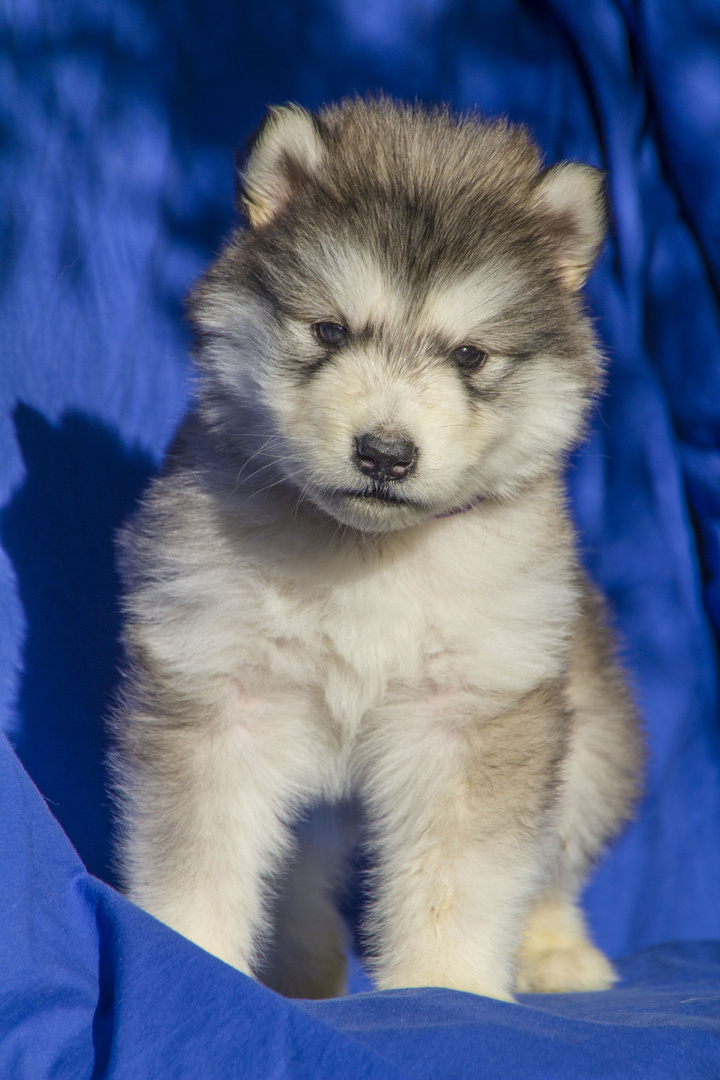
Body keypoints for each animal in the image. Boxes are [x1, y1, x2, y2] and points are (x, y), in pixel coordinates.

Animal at [112, 97, 643, 997]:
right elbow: (201, 861)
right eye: (328, 330)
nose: (386, 454)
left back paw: (551, 951)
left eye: (470, 355)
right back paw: (303, 966)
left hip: (595, 735)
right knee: (296, 872)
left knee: (556, 859)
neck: (366, 557)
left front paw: (450, 986)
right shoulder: (218, 692)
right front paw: (193, 962)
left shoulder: (472, 713)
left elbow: (460, 877)